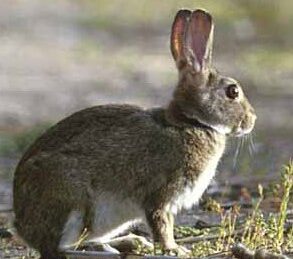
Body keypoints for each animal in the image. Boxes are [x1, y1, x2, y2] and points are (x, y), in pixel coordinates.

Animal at [13, 8, 256, 259]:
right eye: (233, 91)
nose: (252, 120)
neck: (191, 123)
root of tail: (22, 225)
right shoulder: (161, 194)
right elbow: (162, 223)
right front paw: (174, 249)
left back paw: (130, 242)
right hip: (73, 203)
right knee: (59, 248)